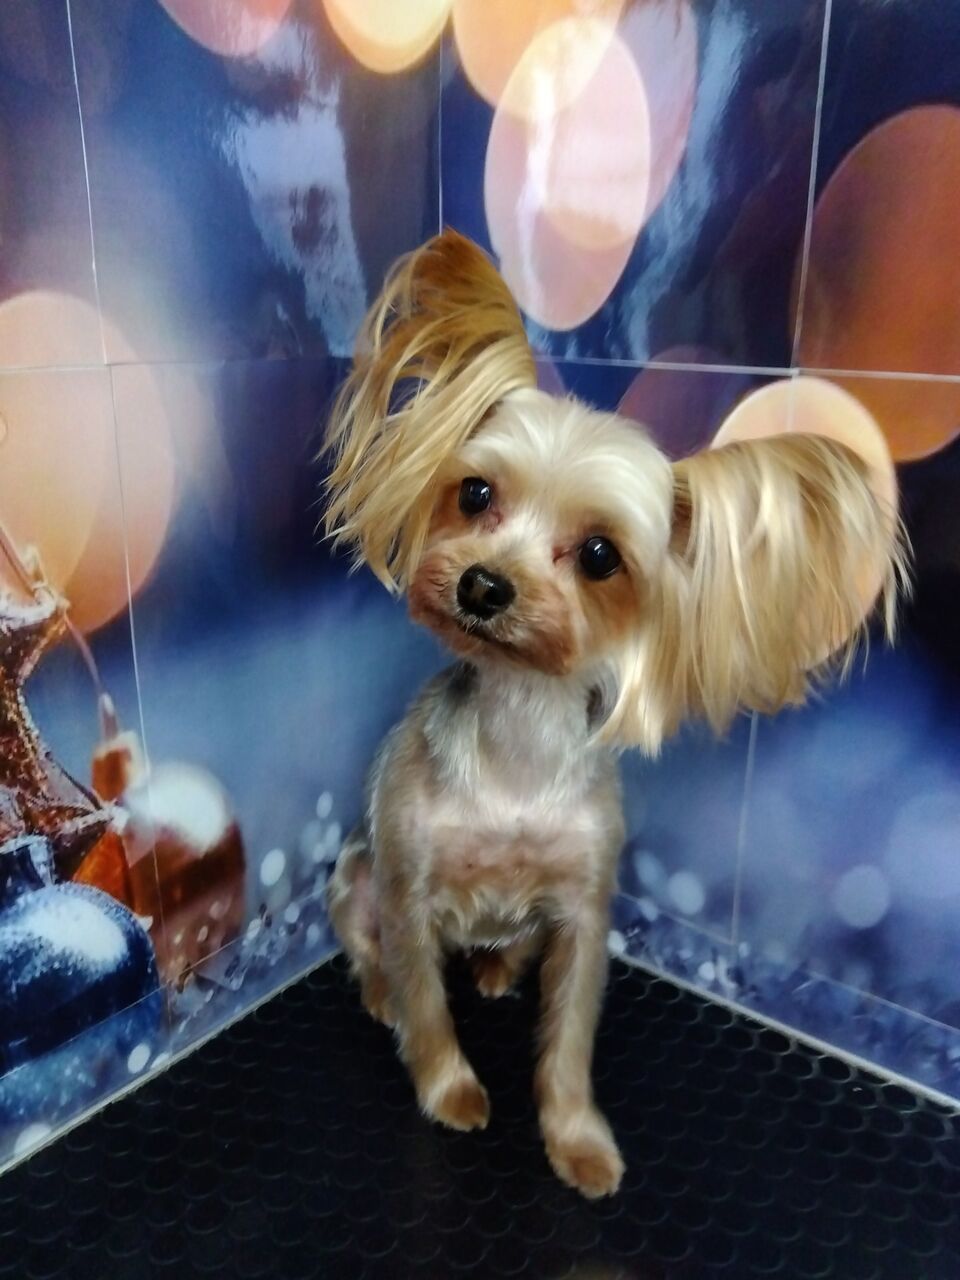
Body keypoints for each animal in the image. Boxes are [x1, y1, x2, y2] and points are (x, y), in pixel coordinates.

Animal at [322, 229, 906, 1199]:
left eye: (600, 555)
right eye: (474, 495)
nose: (483, 585)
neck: (517, 743)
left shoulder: (583, 913)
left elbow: (567, 1044)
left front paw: (578, 1142)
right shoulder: (407, 883)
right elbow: (426, 999)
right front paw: (448, 1087)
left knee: (502, 953)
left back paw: (495, 966)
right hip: (353, 875)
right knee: (374, 951)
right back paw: (382, 994)